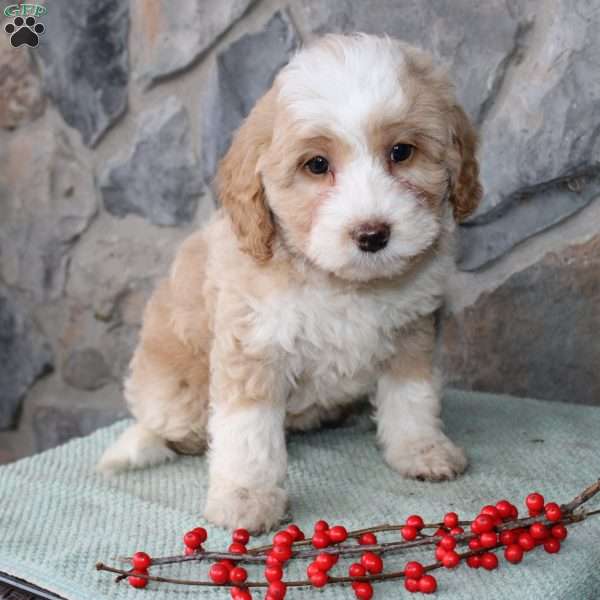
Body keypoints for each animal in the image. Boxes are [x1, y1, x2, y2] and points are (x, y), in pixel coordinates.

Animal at [98, 32, 482, 532]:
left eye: (402, 152)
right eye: (316, 165)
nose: (372, 235)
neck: (341, 281)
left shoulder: (410, 330)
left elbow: (411, 397)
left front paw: (421, 450)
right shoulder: (253, 344)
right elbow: (247, 431)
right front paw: (246, 496)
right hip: (174, 392)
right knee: (167, 425)